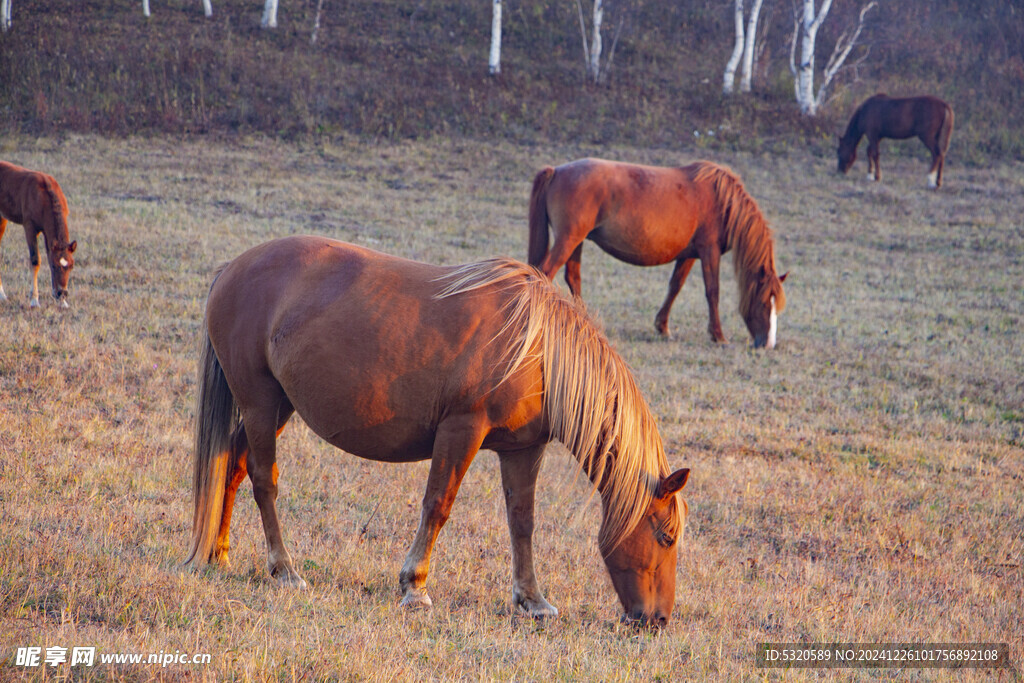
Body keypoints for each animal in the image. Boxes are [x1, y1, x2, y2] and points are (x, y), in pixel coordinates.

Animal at [0, 160, 76, 307]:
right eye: (54, 266)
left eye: (71, 266)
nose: (63, 293)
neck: (43, 196)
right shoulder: (29, 226)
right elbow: (35, 260)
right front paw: (34, 300)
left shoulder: (47, 233)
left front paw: (62, 302)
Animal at [187, 236, 692, 630]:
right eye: (666, 537)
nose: (658, 619)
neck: (537, 350)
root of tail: (231, 269)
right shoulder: (461, 431)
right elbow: (438, 507)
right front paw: (415, 587)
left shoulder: (523, 449)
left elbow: (522, 521)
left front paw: (532, 600)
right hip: (260, 402)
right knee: (263, 479)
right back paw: (284, 568)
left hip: (276, 406)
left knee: (232, 465)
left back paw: (218, 553)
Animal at [532, 158, 786, 348]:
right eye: (765, 302)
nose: (768, 344)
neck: (722, 201)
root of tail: (556, 171)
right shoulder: (709, 251)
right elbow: (713, 291)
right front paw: (718, 335)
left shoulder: (689, 255)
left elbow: (675, 286)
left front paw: (662, 327)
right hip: (569, 239)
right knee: (545, 272)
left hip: (577, 241)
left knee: (573, 277)